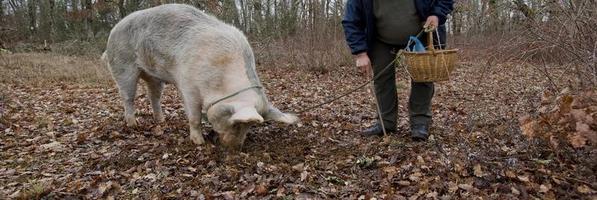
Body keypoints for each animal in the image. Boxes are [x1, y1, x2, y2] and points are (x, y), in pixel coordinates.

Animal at [102, 3, 300, 149]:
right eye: (236, 124)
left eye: (250, 127)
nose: (235, 148)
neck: (220, 81)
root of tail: (113, 31)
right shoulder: (188, 86)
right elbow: (194, 116)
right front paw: (199, 142)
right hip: (123, 67)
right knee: (128, 97)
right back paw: (133, 124)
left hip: (154, 77)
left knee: (154, 96)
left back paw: (162, 119)